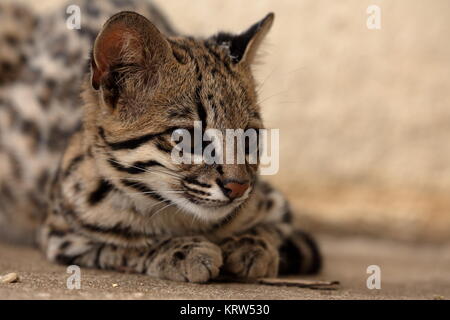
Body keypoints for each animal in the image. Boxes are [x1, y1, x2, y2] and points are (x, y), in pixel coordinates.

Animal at [0, 0, 320, 282]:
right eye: (188, 138)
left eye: (250, 137)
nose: (239, 187)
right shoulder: (61, 234)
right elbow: (121, 246)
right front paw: (180, 251)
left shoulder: (279, 208)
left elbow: (272, 230)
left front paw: (252, 245)